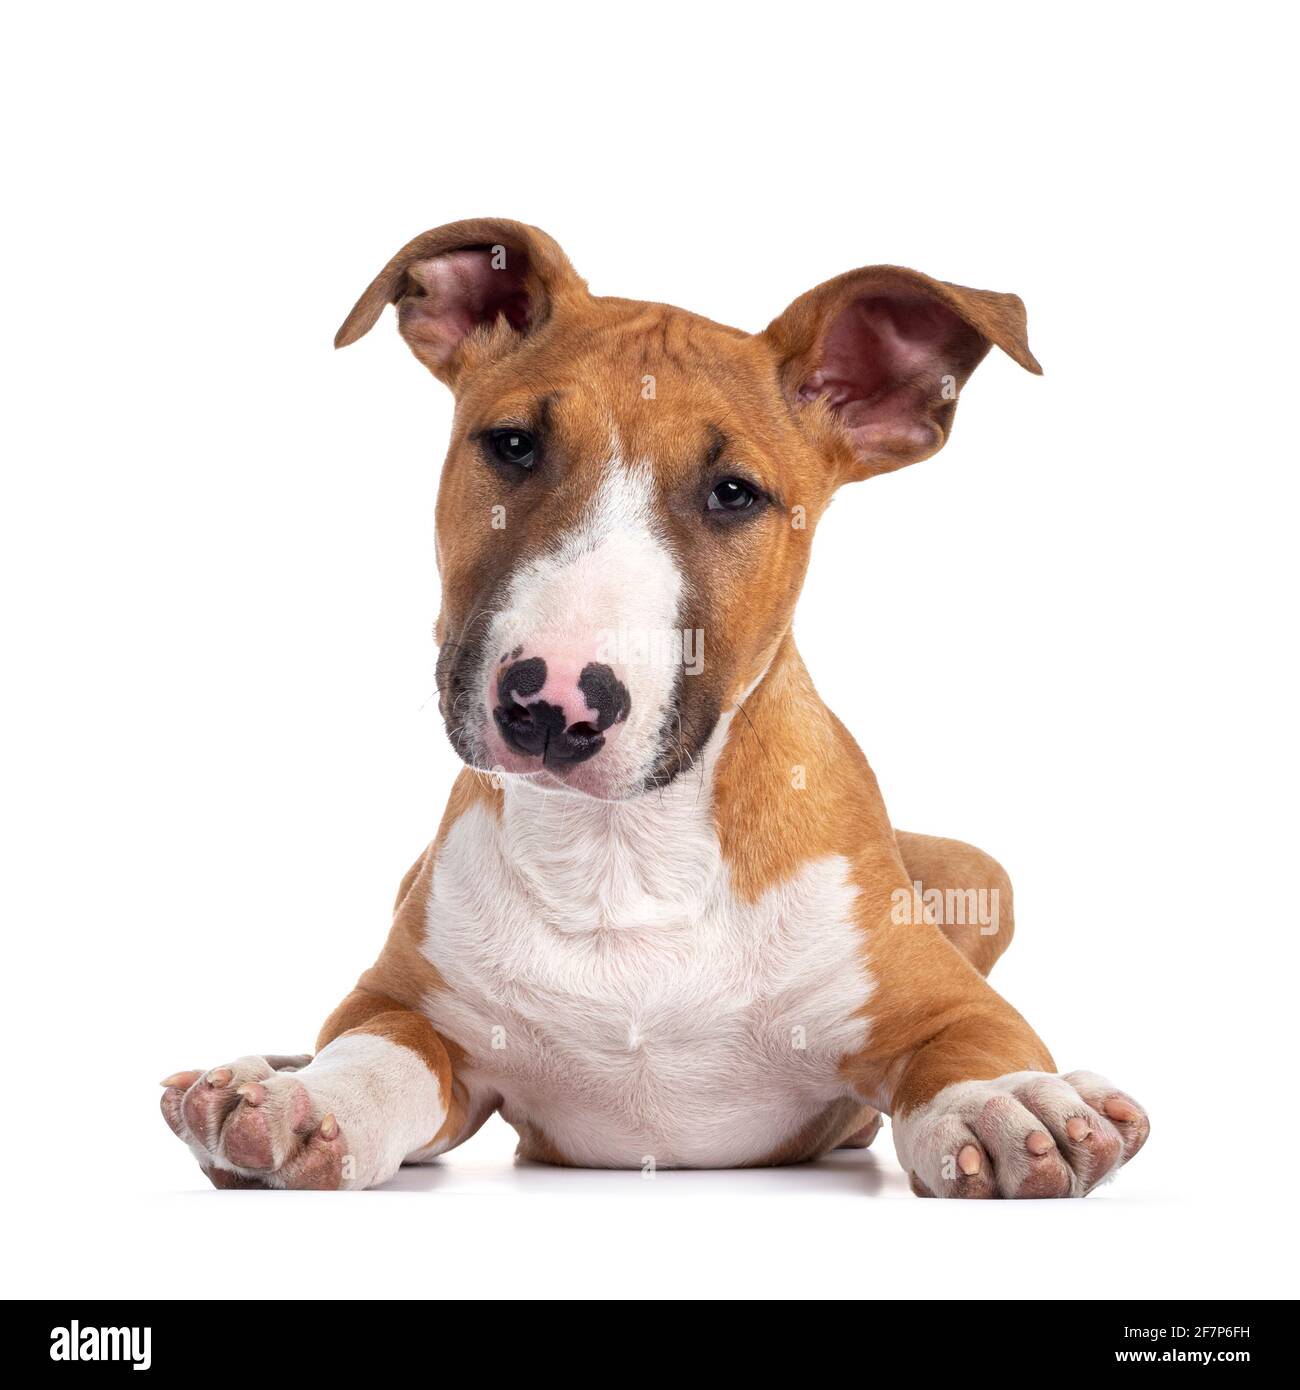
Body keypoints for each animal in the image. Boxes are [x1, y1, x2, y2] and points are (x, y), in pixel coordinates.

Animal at [159, 216, 1151, 1195]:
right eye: (512, 444)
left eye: (734, 494)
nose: (552, 705)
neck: (622, 852)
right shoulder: (401, 998)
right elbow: (375, 1047)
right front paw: (311, 1101)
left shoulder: (952, 1002)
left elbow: (970, 1049)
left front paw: (1006, 1104)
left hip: (980, 874)